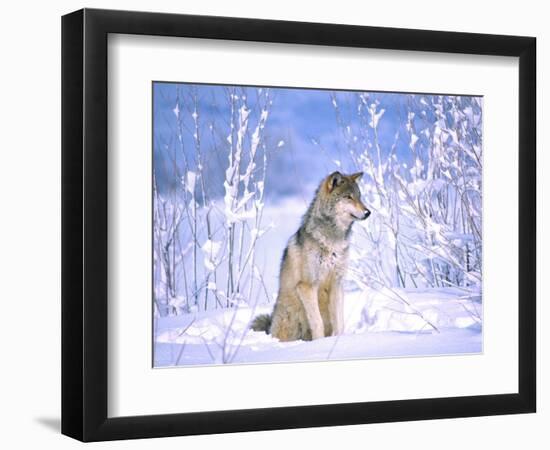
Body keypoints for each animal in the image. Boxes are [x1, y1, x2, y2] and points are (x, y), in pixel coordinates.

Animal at [252, 171, 374, 342]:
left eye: (359, 196)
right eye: (348, 197)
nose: (368, 212)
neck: (332, 240)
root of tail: (270, 327)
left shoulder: (337, 284)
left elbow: (339, 322)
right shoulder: (307, 285)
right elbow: (317, 322)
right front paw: (319, 343)